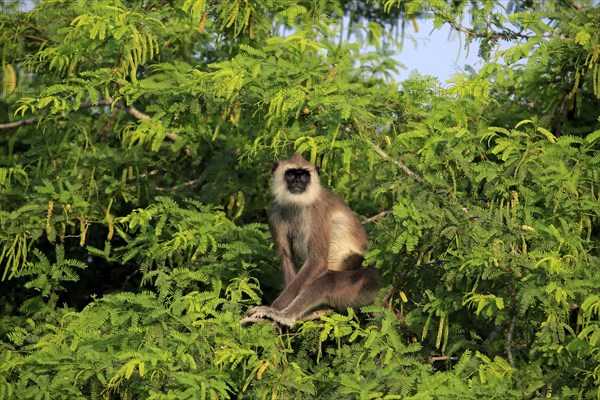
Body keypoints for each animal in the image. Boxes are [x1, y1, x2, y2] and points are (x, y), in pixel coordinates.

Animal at [240, 152, 378, 326]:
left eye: (304, 175)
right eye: (291, 174)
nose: (298, 181)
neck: (298, 204)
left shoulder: (318, 210)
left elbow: (317, 261)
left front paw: (274, 310)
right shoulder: (274, 212)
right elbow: (286, 257)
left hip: (363, 283)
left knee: (327, 281)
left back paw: (286, 317)